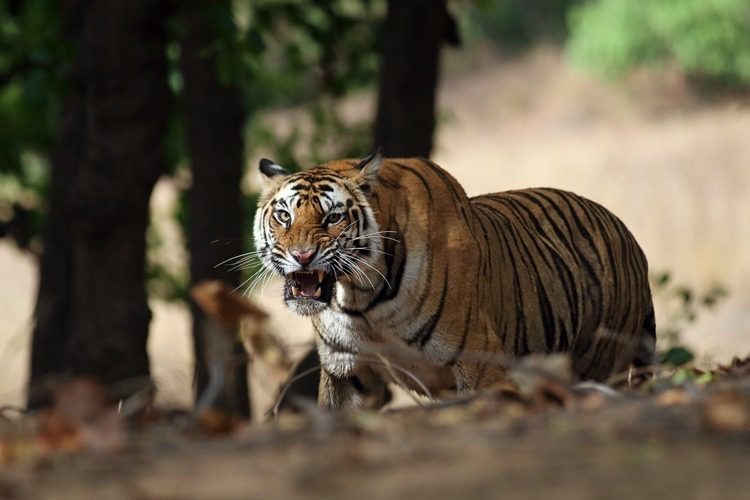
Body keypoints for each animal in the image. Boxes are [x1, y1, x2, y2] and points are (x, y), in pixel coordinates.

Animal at [254, 153, 656, 410]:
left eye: (333, 217)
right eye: (284, 215)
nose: (302, 256)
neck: (362, 300)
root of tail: (629, 235)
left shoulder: (481, 366)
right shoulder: (347, 372)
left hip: (605, 362)